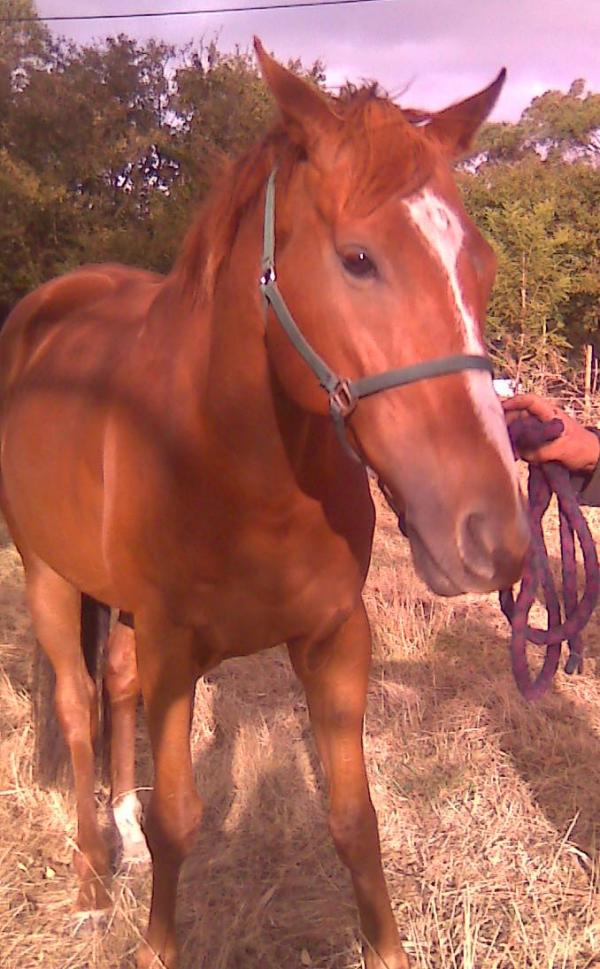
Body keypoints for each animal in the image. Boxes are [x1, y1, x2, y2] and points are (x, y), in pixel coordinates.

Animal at [0, 39, 529, 969]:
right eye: (358, 258)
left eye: (480, 263)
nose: (493, 536)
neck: (241, 470)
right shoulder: (176, 647)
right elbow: (181, 819)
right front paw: (153, 944)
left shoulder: (335, 636)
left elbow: (355, 818)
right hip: (47, 575)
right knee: (74, 708)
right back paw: (93, 881)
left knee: (115, 689)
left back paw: (120, 833)